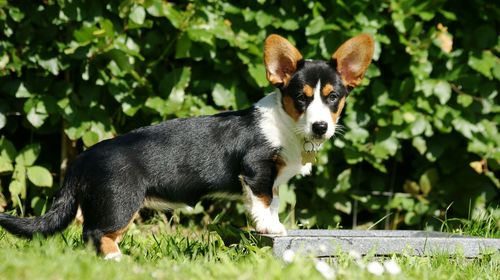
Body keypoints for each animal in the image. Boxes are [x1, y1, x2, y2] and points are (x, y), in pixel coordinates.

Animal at [0, 34, 374, 260]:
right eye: (301, 98)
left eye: (333, 98)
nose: (320, 127)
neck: (287, 125)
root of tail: (82, 158)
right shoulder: (256, 172)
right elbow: (264, 204)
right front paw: (271, 228)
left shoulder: (274, 179)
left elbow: (275, 202)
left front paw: (274, 223)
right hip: (119, 202)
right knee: (96, 233)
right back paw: (117, 260)